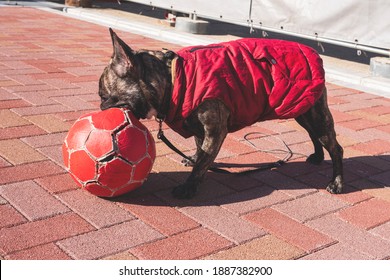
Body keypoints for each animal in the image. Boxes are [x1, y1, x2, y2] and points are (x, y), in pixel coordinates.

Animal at [99, 28, 342, 199]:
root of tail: (314, 53)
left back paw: (336, 182)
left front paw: (189, 187)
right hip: (303, 109)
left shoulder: (214, 131)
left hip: (315, 114)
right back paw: (317, 157)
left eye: (104, 95)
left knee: (335, 148)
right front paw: (193, 159)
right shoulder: (200, 128)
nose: (100, 107)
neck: (172, 79)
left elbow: (203, 162)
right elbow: (200, 150)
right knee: (313, 135)